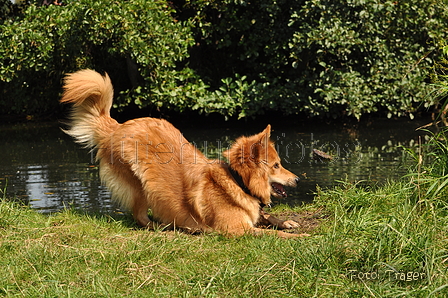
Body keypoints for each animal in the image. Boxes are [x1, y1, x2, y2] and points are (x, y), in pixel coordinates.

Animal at [60, 68, 308, 239]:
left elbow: (268, 219)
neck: (237, 181)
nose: (297, 179)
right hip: (141, 184)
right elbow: (271, 233)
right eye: (276, 165)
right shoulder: (235, 230)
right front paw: (299, 236)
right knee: (139, 217)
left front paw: (287, 223)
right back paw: (164, 227)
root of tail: (117, 126)